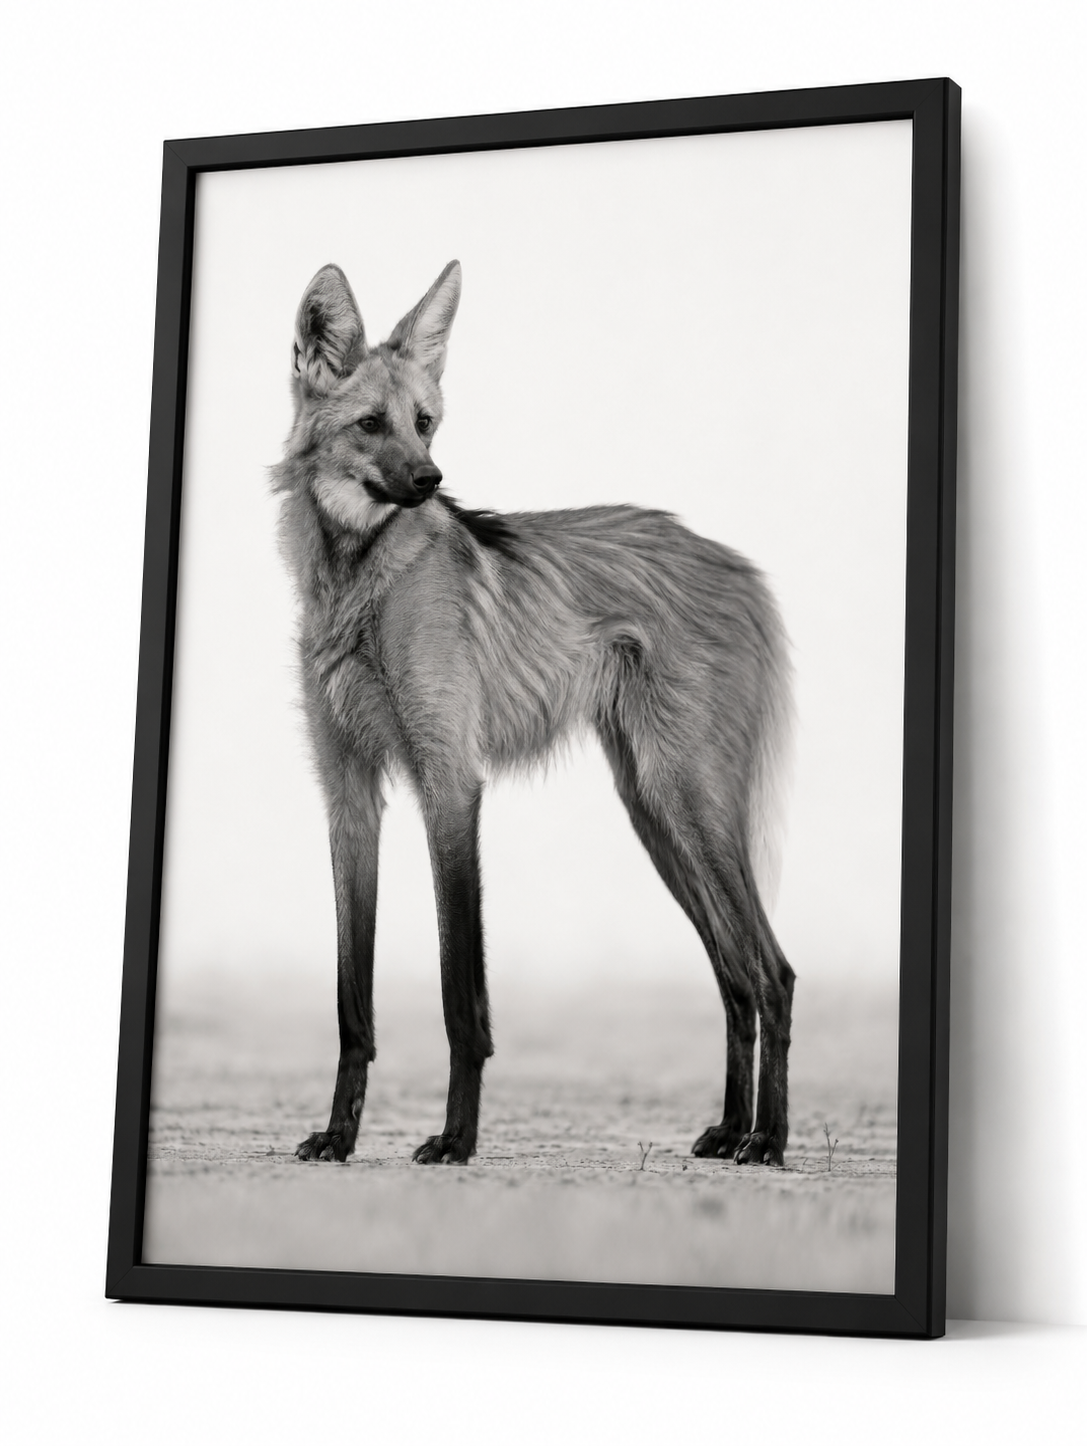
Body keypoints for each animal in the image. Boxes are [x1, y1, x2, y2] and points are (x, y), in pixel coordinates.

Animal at [273, 260, 796, 1167]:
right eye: (371, 424)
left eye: (425, 424)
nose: (430, 483)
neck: (357, 583)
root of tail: (740, 566)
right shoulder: (350, 797)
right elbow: (351, 1001)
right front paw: (339, 1136)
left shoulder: (450, 783)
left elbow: (461, 992)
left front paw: (456, 1139)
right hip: (654, 811)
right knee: (733, 975)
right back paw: (733, 1129)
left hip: (687, 800)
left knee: (771, 972)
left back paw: (767, 1140)